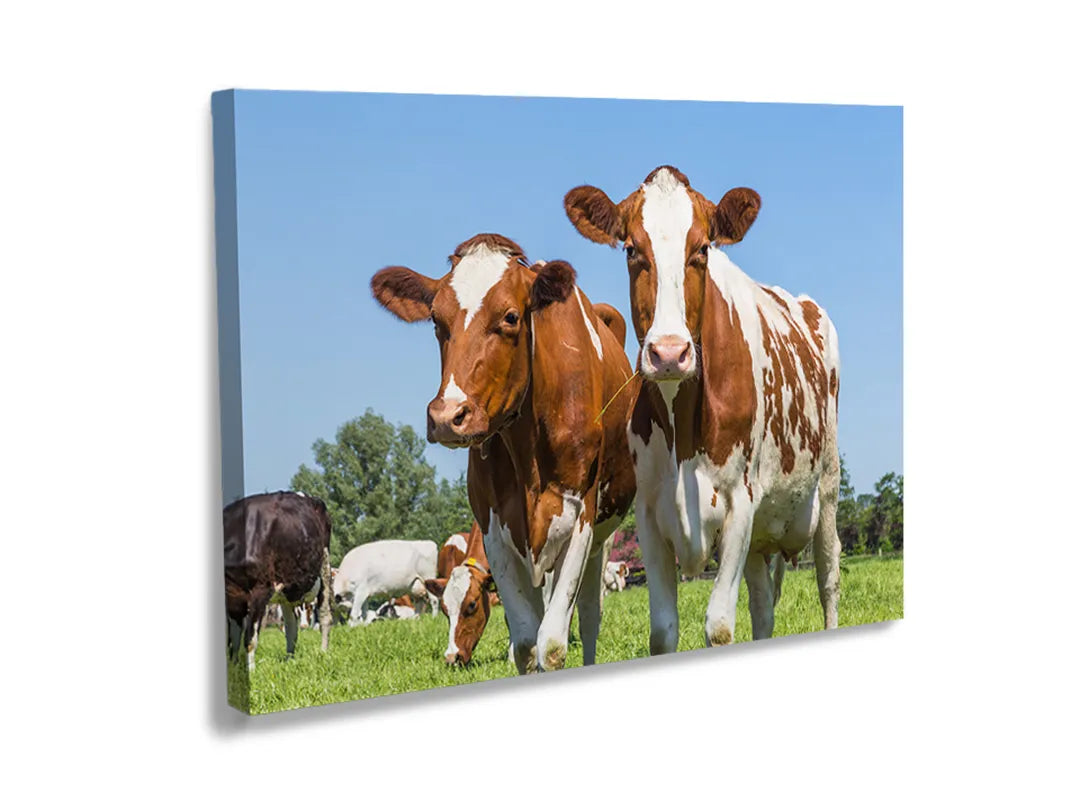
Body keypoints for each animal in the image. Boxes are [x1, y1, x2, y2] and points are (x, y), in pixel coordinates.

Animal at [224, 491, 333, 671]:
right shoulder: (233, 600)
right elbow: (234, 639)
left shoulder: (260, 590)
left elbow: (249, 640)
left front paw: (251, 671)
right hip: (287, 588)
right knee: (291, 626)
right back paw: (289, 659)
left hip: (324, 566)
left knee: (325, 616)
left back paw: (323, 652)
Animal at [371, 233, 637, 672]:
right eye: (436, 321)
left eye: (511, 317)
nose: (447, 416)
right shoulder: (497, 529)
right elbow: (526, 641)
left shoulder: (578, 519)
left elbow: (552, 642)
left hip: (603, 535)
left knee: (590, 614)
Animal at [564, 166, 842, 652]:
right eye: (632, 249)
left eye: (702, 248)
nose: (669, 353)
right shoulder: (650, 513)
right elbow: (663, 631)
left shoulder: (740, 505)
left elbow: (720, 627)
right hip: (762, 538)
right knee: (763, 607)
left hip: (826, 489)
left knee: (828, 582)